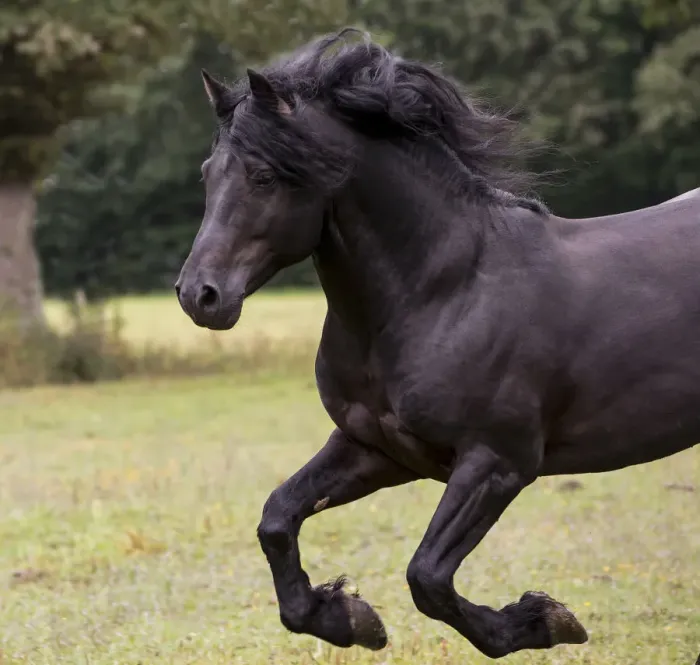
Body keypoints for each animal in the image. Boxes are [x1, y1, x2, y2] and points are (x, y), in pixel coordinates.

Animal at [175, 28, 700, 660]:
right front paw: (347, 618)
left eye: (264, 176)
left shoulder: (497, 463)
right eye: (209, 173)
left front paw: (545, 621)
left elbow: (426, 576)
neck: (443, 293)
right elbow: (277, 519)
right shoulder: (377, 448)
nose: (199, 295)